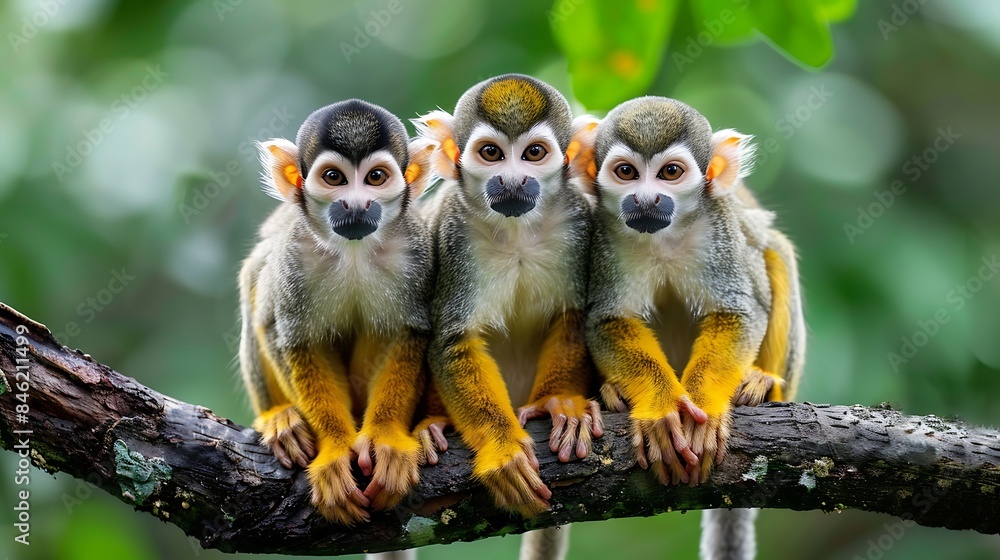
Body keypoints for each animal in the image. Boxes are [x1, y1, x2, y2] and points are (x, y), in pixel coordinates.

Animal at [238, 99, 441, 525]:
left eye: (376, 177)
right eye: (334, 177)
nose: (356, 203)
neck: (354, 252)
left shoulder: (414, 251)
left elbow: (407, 332)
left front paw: (386, 438)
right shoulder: (295, 256)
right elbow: (294, 337)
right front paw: (335, 449)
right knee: (257, 284)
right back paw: (279, 418)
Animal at [412, 75, 604, 532]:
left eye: (533, 153)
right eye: (491, 153)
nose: (513, 181)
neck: (516, 230)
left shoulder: (578, 221)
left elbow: (573, 316)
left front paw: (561, 403)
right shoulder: (455, 233)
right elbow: (452, 341)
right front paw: (502, 449)